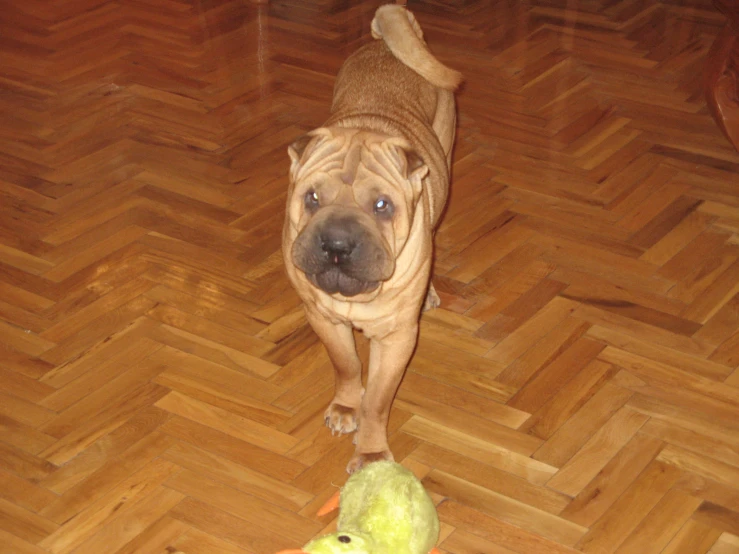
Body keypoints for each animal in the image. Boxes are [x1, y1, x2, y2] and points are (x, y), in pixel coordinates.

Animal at [282, 3, 460, 470]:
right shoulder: (323, 318)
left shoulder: (397, 337)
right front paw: (347, 406)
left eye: (382, 206)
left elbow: (379, 400)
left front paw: (373, 452)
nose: (337, 243)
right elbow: (345, 364)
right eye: (311, 197)